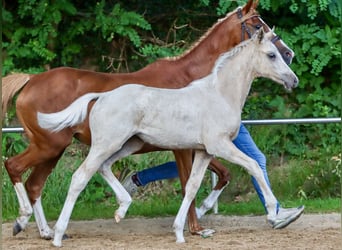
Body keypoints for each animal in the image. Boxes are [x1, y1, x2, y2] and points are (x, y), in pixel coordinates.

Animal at [1, 0, 292, 240]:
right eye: (258, 24)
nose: (290, 58)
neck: (211, 87)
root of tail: (30, 80)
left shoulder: (200, 148)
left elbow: (203, 181)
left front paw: (193, 224)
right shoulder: (193, 148)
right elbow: (203, 179)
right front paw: (198, 227)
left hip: (68, 148)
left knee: (37, 183)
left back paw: (48, 230)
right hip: (57, 146)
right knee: (27, 169)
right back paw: (38, 225)